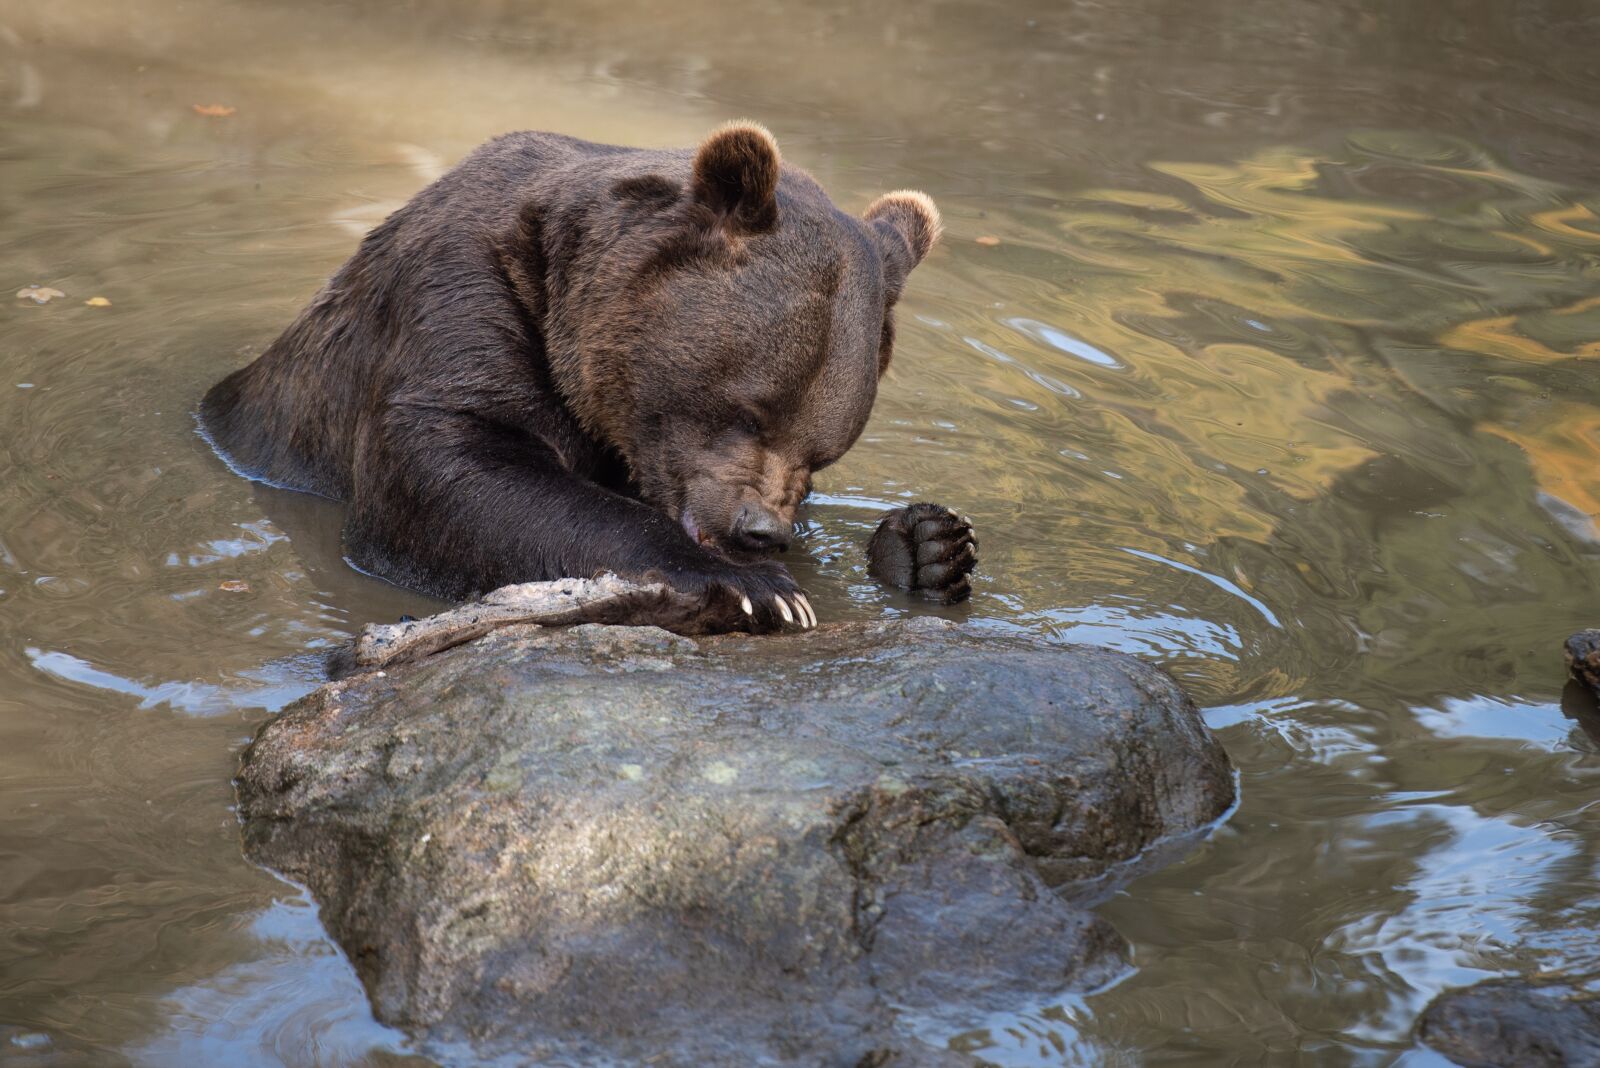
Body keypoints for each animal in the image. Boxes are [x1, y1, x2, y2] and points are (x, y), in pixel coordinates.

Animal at [199, 122, 976, 632]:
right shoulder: (462, 303)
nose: (760, 532)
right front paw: (756, 585)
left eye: (822, 452)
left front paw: (930, 546)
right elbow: (450, 470)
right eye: (749, 411)